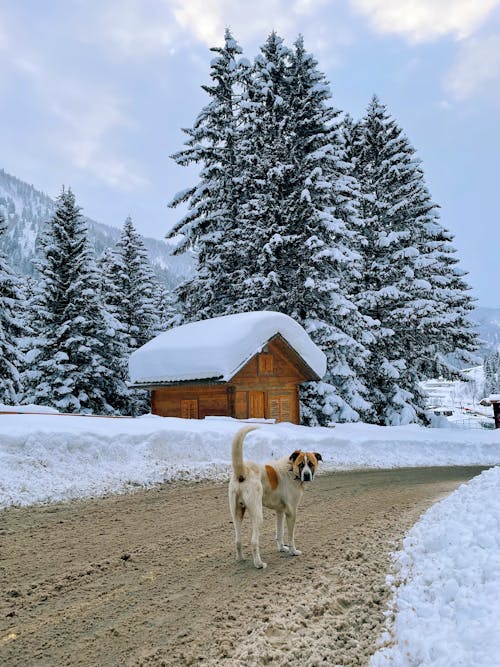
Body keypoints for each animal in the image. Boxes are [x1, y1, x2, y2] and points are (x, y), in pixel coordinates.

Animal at [228, 428, 322, 568]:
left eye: (311, 464)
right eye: (301, 464)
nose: (306, 475)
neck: (291, 469)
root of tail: (242, 473)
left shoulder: (280, 511)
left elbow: (280, 532)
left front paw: (282, 548)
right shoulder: (291, 513)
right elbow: (290, 536)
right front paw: (293, 552)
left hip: (237, 514)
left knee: (237, 540)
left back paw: (240, 559)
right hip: (258, 515)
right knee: (254, 542)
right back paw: (259, 564)